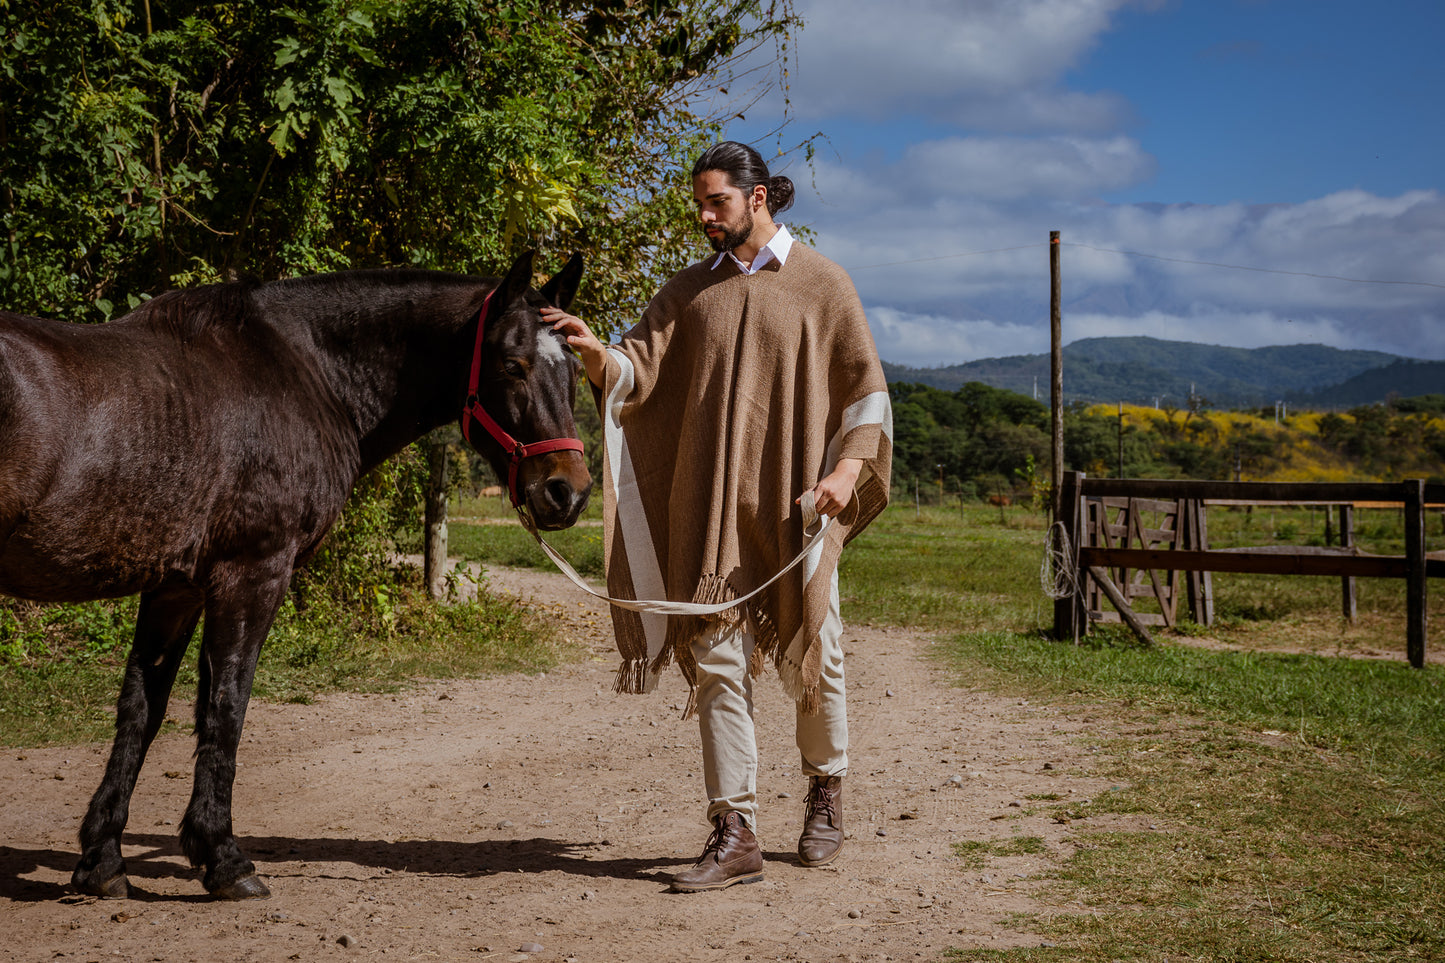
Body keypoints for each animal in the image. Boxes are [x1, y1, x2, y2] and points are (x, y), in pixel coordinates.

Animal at [0, 251, 592, 896]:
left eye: (575, 372)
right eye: (513, 365)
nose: (568, 493)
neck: (302, 370)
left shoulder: (176, 588)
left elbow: (142, 709)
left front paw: (103, 859)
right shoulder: (254, 572)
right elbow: (226, 705)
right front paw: (224, 857)